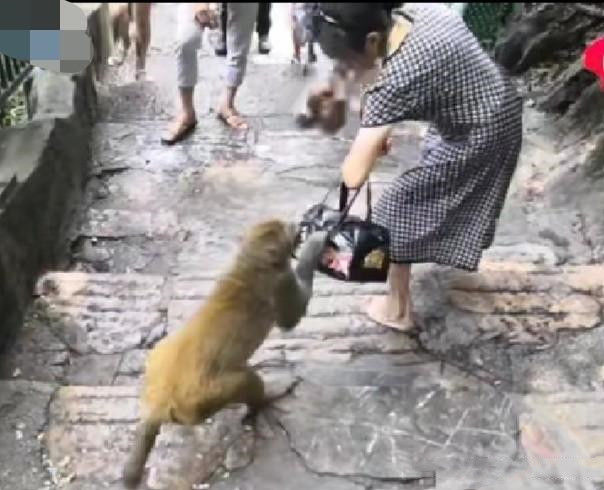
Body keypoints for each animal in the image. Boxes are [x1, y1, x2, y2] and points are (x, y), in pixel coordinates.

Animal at [122, 221, 328, 486]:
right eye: (287, 229)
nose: (296, 226)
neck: (249, 264)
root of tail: (159, 402)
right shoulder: (281, 281)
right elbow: (291, 319)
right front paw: (315, 245)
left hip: (161, 365)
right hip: (204, 397)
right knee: (245, 381)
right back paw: (263, 399)